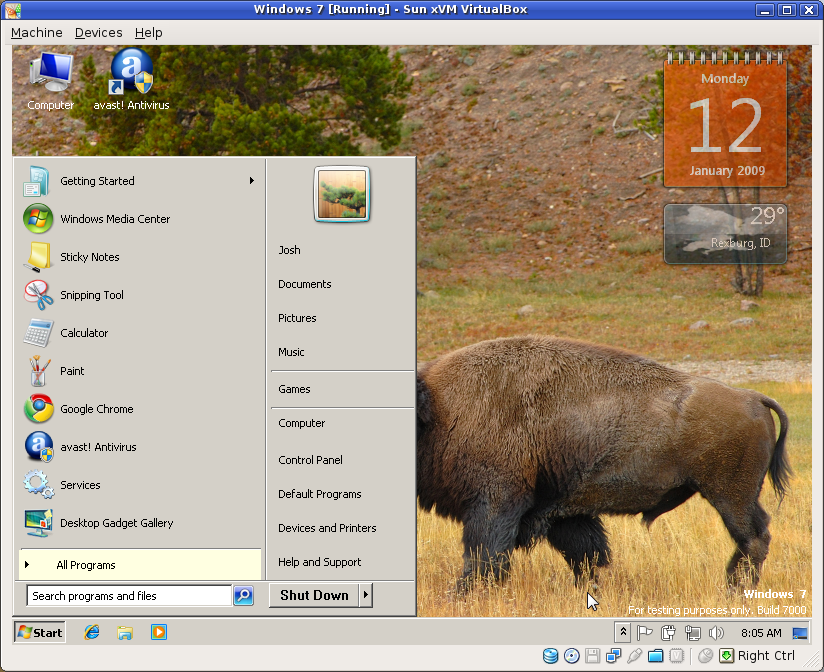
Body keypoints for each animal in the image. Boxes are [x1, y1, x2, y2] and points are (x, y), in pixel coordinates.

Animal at [416, 336, 791, 593]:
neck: (440, 408)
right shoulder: (562, 512)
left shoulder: (495, 503)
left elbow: (485, 556)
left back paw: (735, 588)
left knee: (753, 537)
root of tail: (752, 397)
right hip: (735, 495)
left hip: (729, 495)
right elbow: (586, 554)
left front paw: (461, 595)